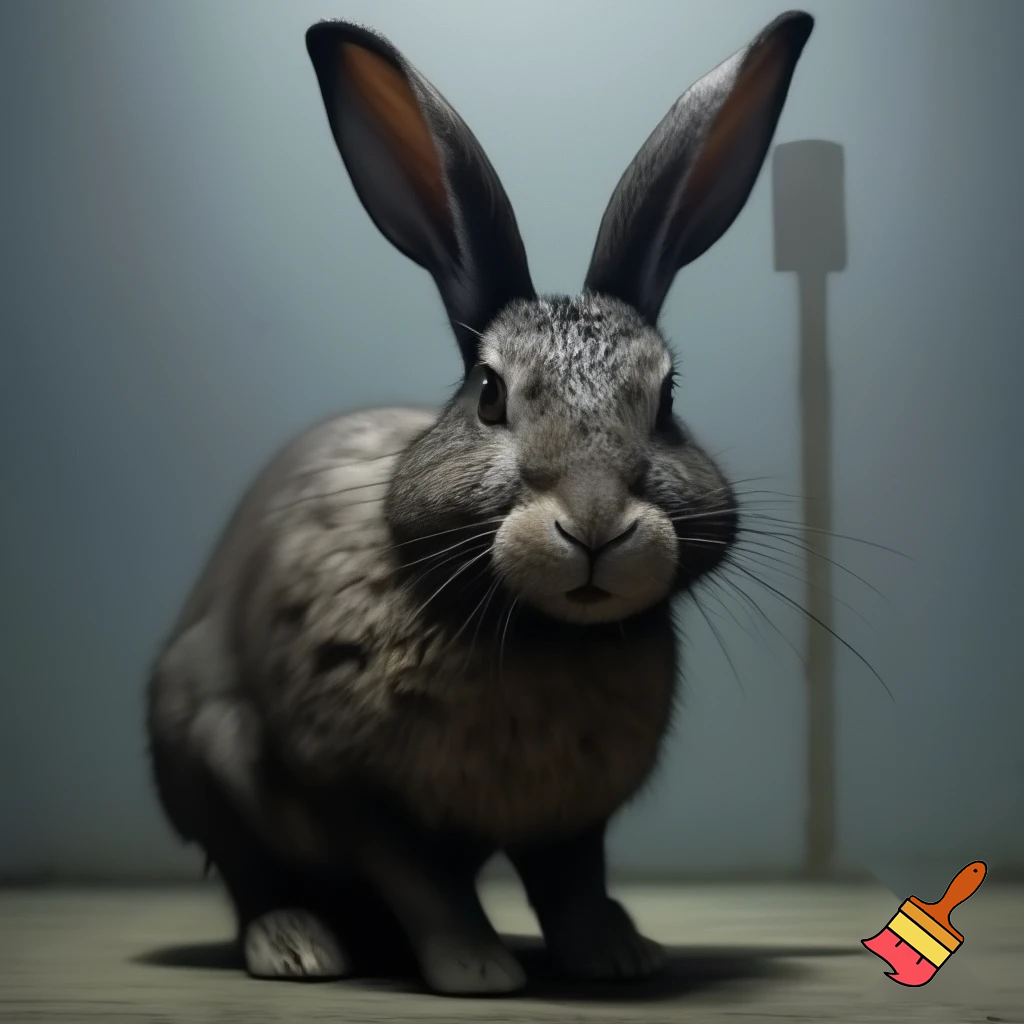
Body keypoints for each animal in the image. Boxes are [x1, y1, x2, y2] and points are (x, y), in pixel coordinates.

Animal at [146, 10, 814, 996]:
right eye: (491, 394)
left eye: (668, 399)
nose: (594, 524)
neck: (540, 634)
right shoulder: (353, 792)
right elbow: (423, 882)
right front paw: (477, 970)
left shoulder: (572, 815)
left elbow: (573, 879)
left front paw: (615, 957)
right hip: (196, 744)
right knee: (251, 877)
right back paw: (298, 946)